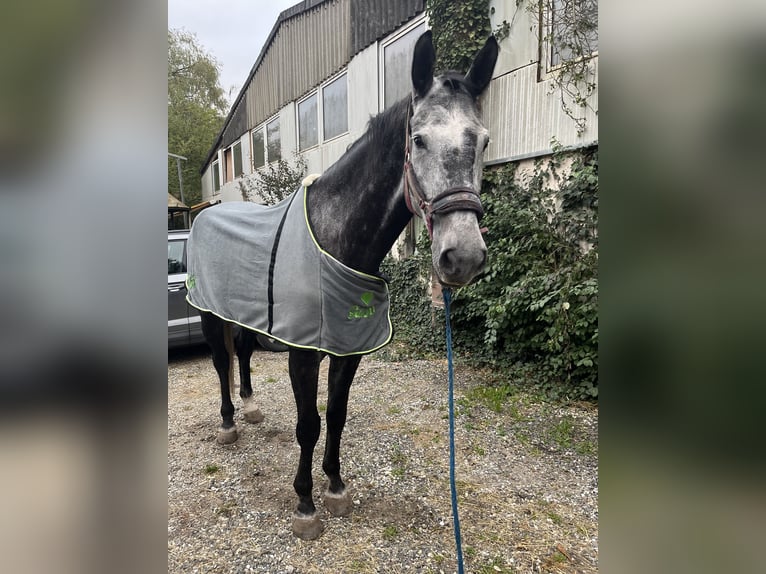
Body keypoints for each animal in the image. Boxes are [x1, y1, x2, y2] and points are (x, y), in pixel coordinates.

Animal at [186, 31, 498, 540]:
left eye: (484, 141)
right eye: (418, 139)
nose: (463, 255)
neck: (337, 241)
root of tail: (206, 212)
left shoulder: (348, 350)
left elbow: (336, 415)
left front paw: (334, 486)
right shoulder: (302, 353)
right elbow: (308, 424)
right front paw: (305, 504)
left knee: (244, 354)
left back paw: (251, 408)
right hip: (210, 314)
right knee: (219, 363)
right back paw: (229, 424)